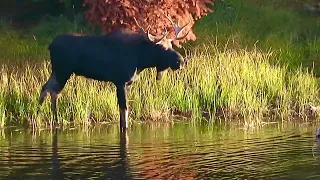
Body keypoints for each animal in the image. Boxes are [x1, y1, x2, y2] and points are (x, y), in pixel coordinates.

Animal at [38, 15, 191, 131]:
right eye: (161, 47)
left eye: (171, 45)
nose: (181, 61)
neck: (141, 60)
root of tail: (50, 45)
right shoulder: (120, 81)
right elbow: (124, 109)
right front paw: (125, 129)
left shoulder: (127, 83)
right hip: (63, 71)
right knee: (53, 91)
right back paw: (54, 119)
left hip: (57, 71)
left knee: (46, 88)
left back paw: (43, 116)